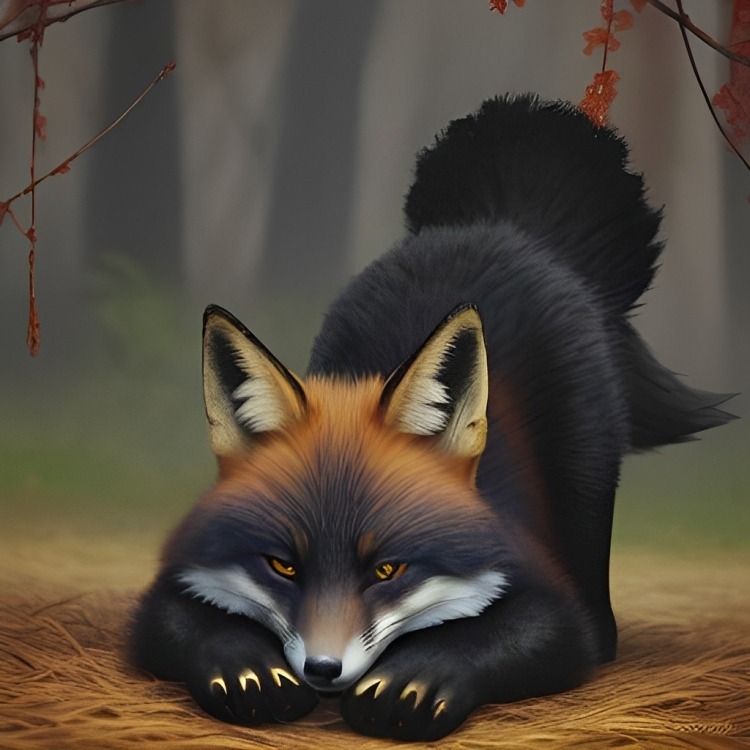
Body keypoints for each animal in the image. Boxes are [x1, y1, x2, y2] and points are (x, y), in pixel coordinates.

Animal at [130, 93, 734, 741]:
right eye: (282, 566)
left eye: (388, 569)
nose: (322, 669)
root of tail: (503, 225)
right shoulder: (172, 587)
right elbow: (182, 623)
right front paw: (252, 671)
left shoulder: (547, 600)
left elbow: (497, 636)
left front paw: (413, 681)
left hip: (585, 488)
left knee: (596, 603)